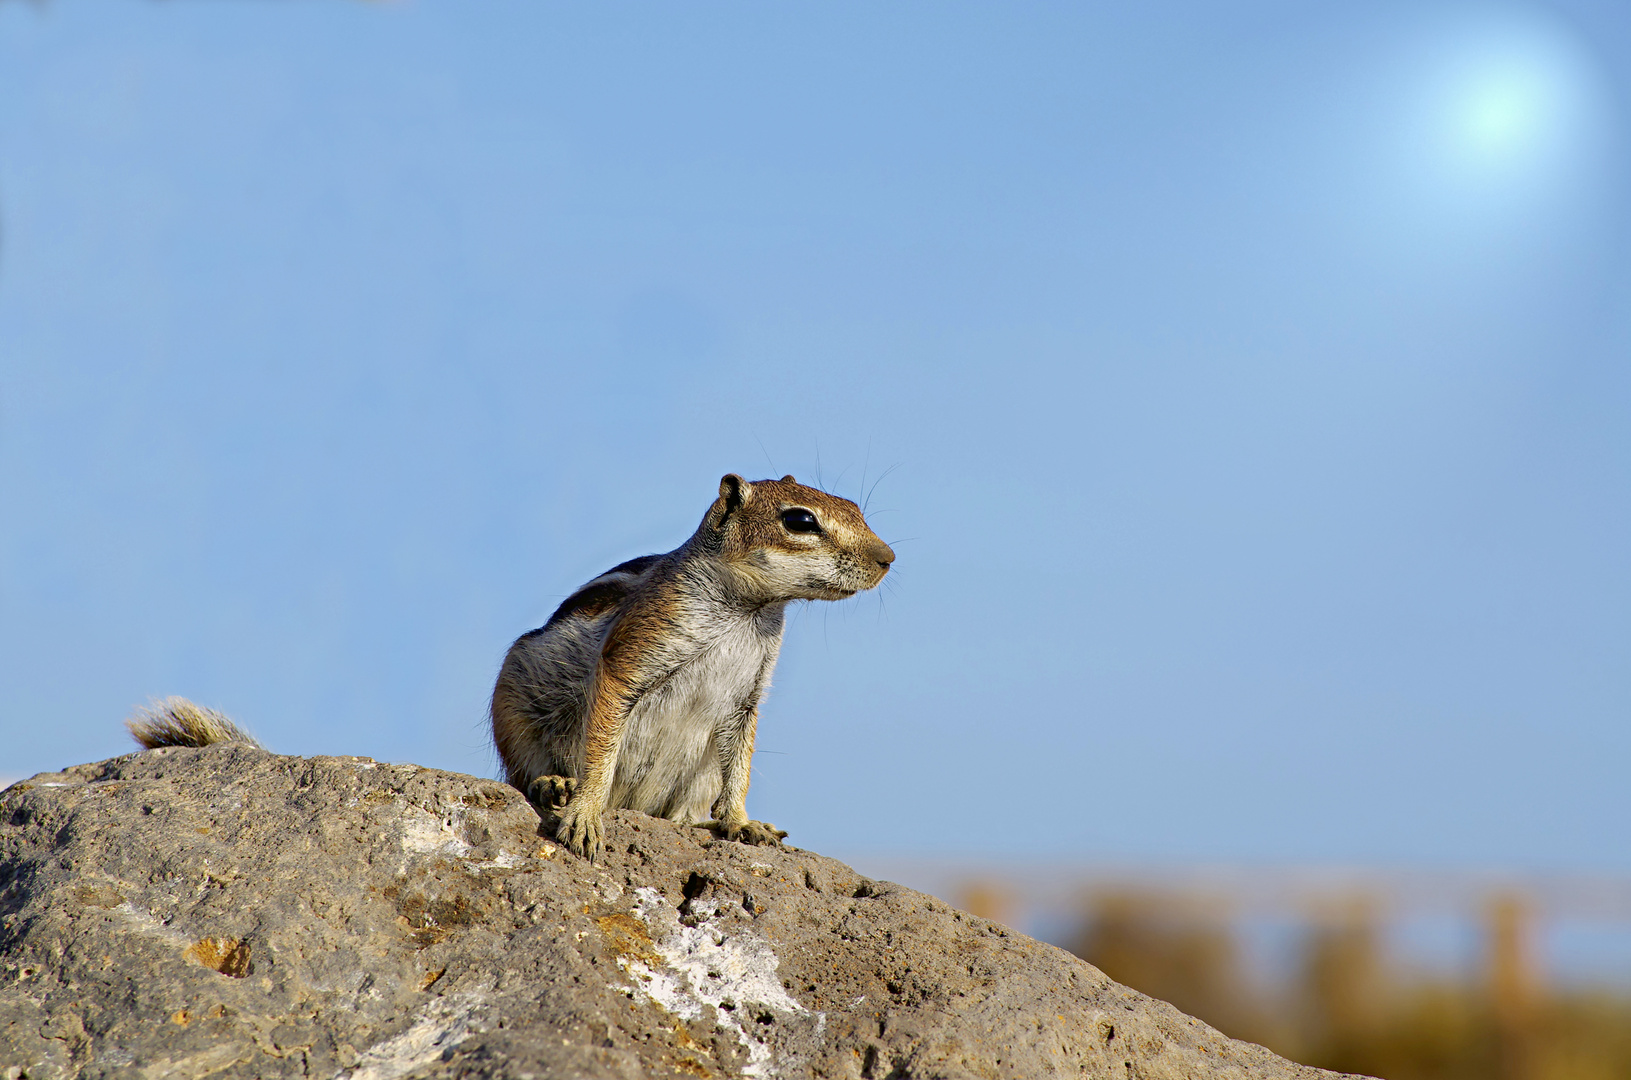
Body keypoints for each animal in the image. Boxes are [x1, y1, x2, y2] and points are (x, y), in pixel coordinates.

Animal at [492, 473, 893, 861]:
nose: (887, 558)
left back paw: (709, 824)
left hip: (702, 777)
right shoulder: (630, 658)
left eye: (855, 508)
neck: (749, 610)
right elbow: (601, 747)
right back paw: (552, 784)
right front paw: (585, 813)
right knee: (523, 773)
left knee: (684, 815)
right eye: (800, 521)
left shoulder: (747, 698)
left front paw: (740, 821)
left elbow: (741, 764)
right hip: (516, 710)